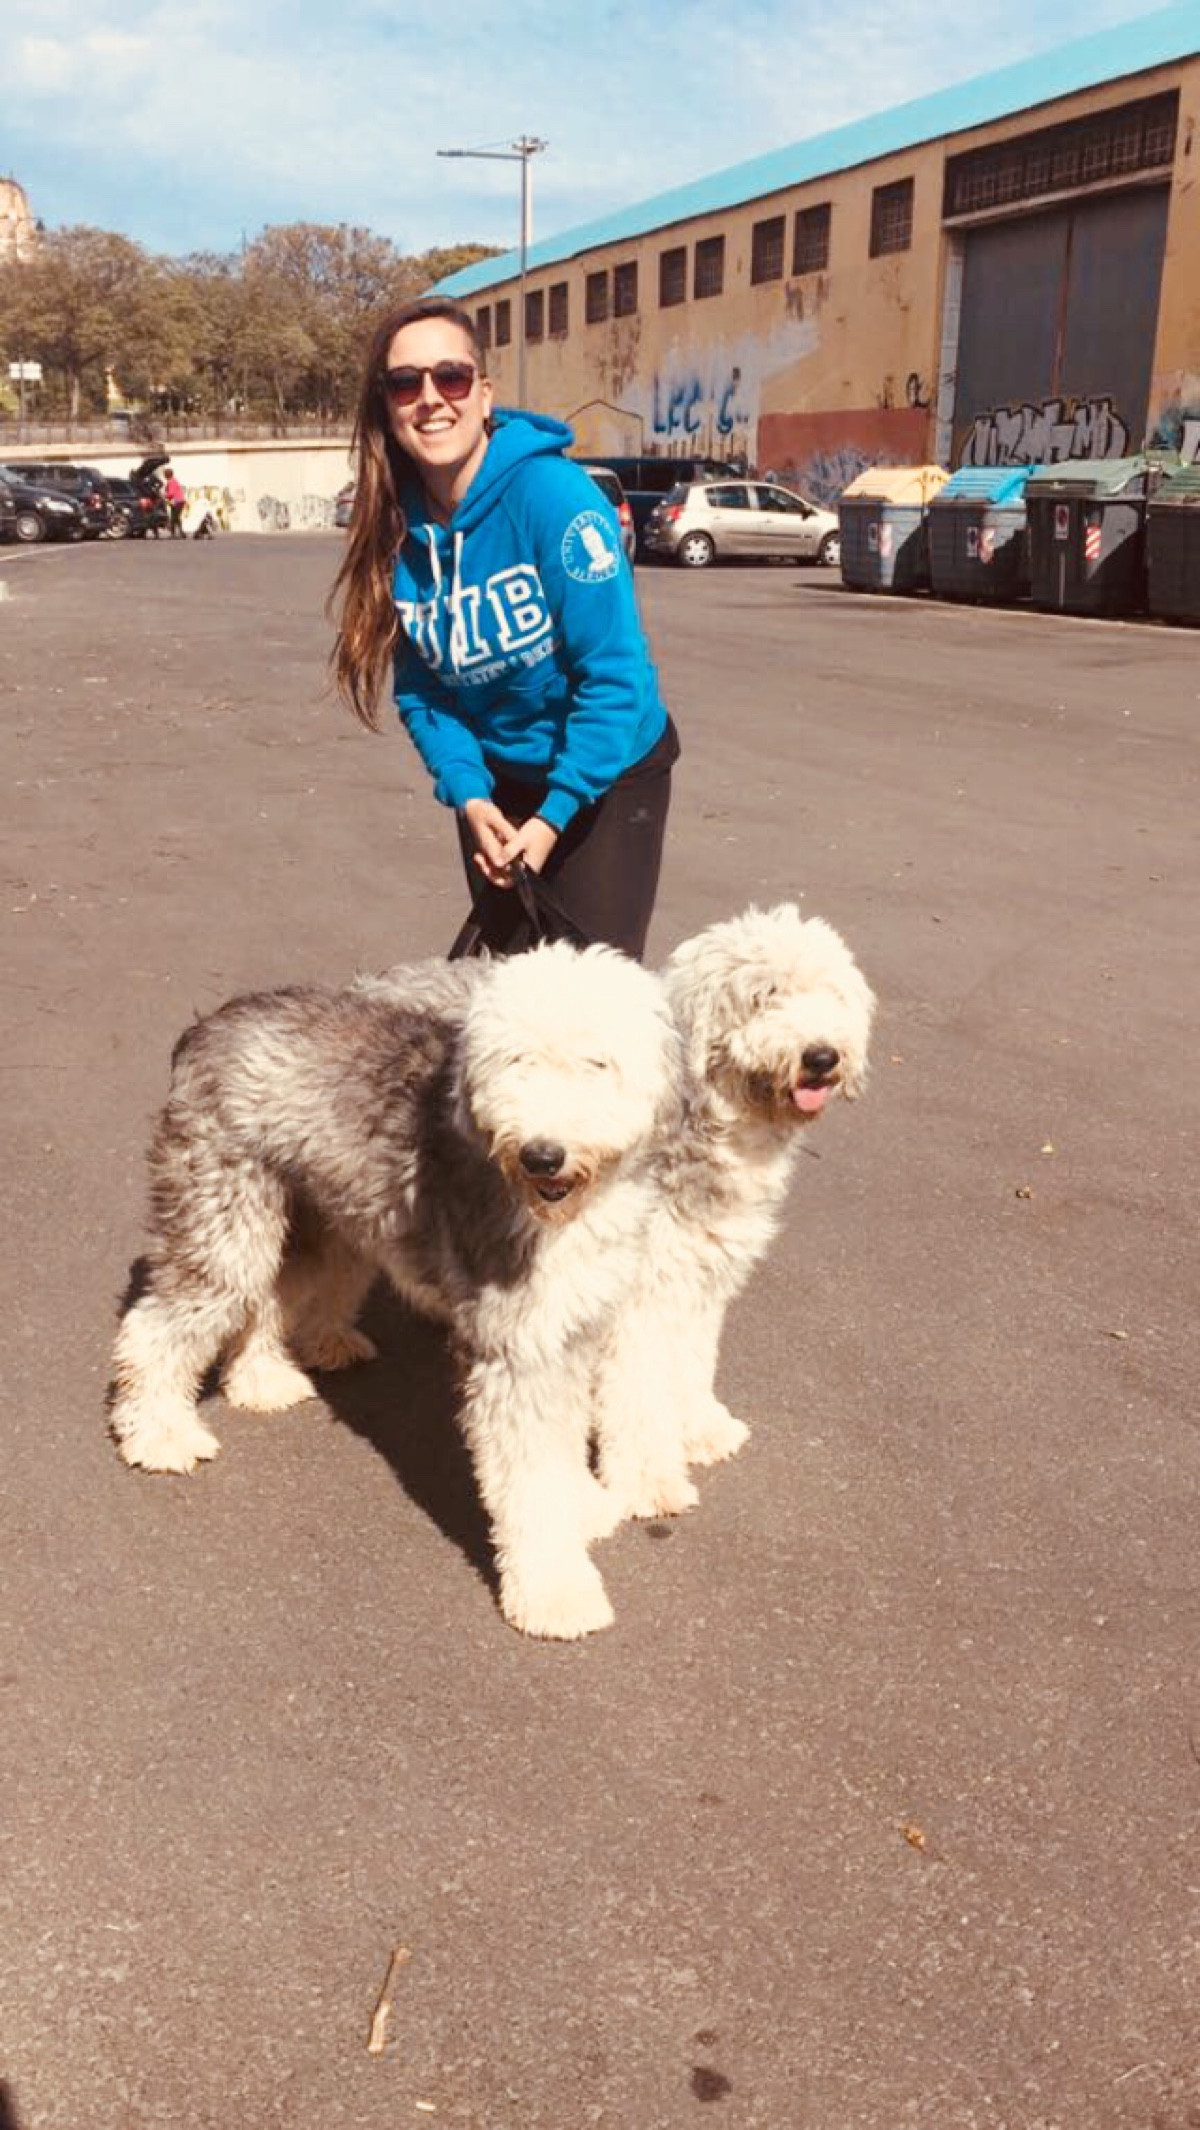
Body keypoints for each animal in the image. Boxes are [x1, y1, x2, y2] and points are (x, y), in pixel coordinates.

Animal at [109, 943, 682, 1639]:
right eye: (516, 1060)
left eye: (598, 1062)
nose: (542, 1155)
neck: (563, 1211)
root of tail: (212, 1023)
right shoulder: (518, 1346)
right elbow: (531, 1476)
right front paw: (556, 1593)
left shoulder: (569, 1329)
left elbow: (563, 1442)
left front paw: (582, 1505)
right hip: (224, 1213)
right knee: (160, 1323)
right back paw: (158, 1433)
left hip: (313, 1218)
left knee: (272, 1297)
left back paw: (261, 1380)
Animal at [593, 903, 875, 1520]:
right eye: (764, 995)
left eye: (830, 994)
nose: (822, 1056)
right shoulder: (640, 1294)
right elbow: (637, 1390)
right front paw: (649, 1481)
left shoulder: (700, 1277)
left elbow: (691, 1361)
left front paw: (699, 1430)